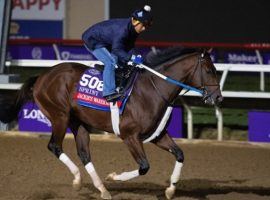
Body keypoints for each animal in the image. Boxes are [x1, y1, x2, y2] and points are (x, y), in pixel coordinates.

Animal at [1, 47, 223, 199]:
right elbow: (144, 166)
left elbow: (180, 154)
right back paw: (78, 180)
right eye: (209, 70)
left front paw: (170, 189)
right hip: (59, 116)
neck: (152, 90)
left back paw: (101, 189)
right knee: (54, 146)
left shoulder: (157, 135)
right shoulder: (129, 136)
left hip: (79, 123)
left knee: (84, 153)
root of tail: (42, 76)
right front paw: (114, 177)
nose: (218, 98)